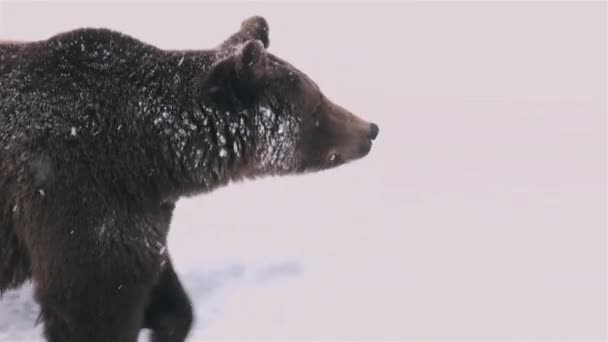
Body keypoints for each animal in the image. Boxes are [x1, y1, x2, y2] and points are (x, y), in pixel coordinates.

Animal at [0, 16, 378, 342]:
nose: (370, 129)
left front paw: (166, 326)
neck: (149, 156)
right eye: (316, 103)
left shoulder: (142, 210)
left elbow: (159, 286)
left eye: (318, 91)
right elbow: (93, 301)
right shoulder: (74, 190)